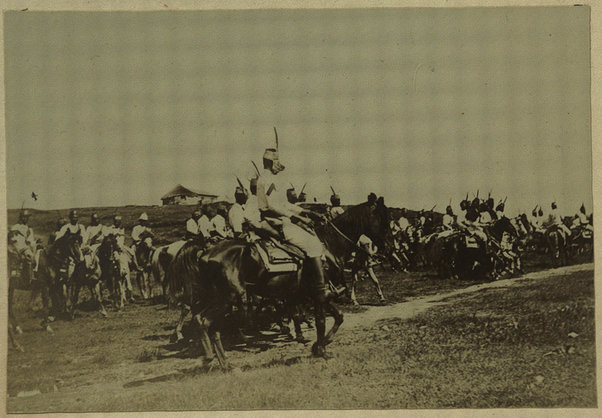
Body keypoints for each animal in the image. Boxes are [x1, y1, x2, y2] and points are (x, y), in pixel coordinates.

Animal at [164, 198, 392, 368]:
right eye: (384, 220)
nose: (388, 248)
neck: (328, 244)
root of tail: (204, 252)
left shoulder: (313, 295)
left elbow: (338, 317)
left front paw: (319, 345)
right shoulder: (319, 293)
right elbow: (321, 320)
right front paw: (320, 347)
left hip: (216, 297)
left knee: (205, 322)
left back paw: (222, 361)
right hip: (228, 298)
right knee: (204, 321)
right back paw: (213, 358)